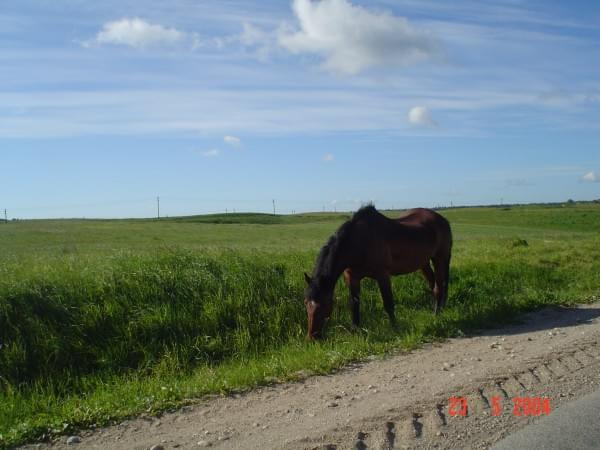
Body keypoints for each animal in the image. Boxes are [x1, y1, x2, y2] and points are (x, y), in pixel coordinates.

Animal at [304, 206, 450, 340]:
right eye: (306, 303)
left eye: (324, 304)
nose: (312, 338)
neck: (358, 242)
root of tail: (442, 219)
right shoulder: (352, 278)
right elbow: (354, 304)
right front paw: (355, 330)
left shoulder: (383, 276)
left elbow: (388, 303)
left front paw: (395, 328)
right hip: (423, 263)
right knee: (433, 284)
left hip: (440, 258)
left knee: (439, 287)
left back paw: (436, 315)